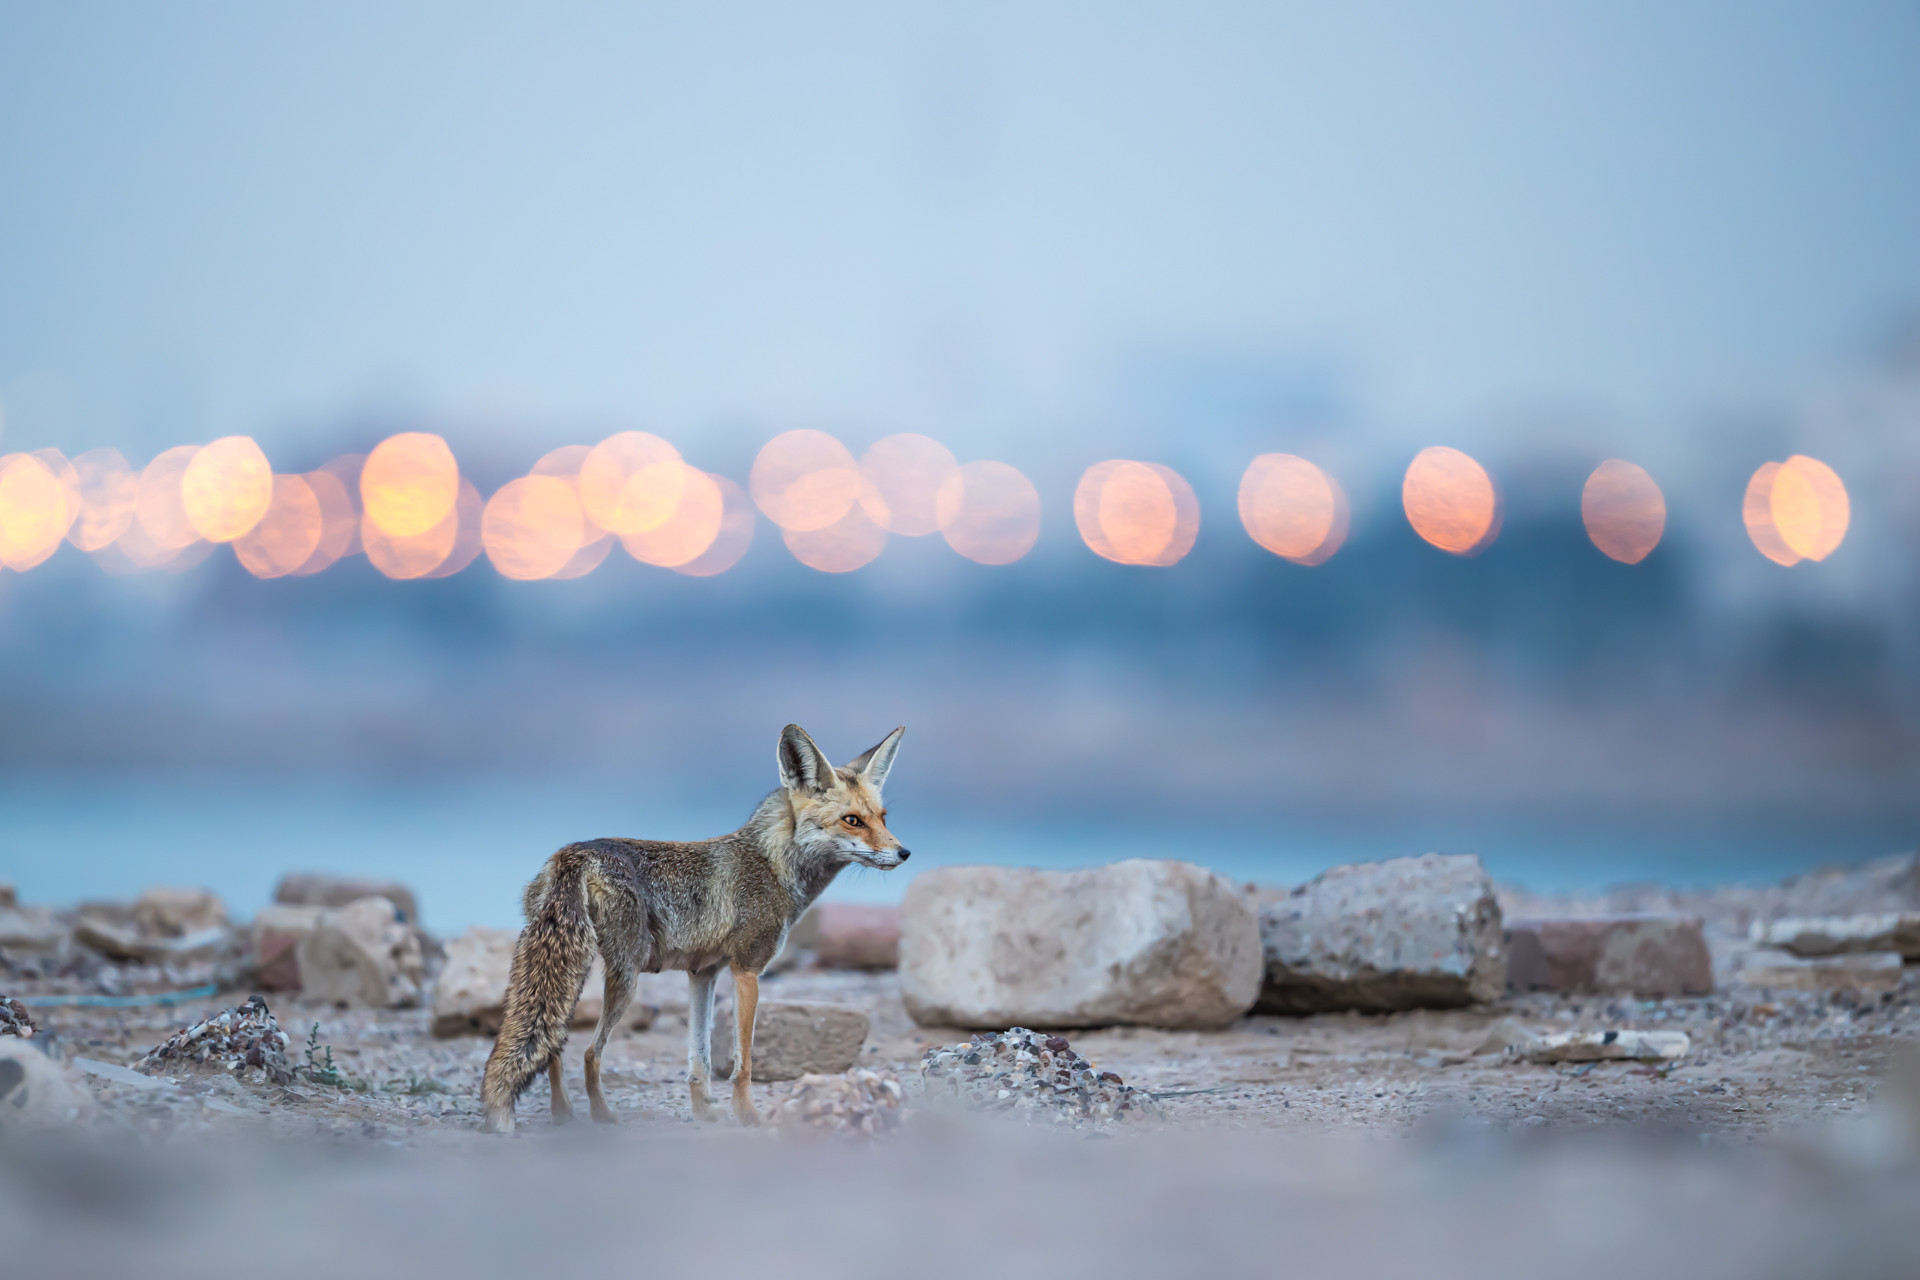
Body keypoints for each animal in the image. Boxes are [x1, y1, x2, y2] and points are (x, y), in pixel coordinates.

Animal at [480, 723, 909, 1135]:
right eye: (852, 821)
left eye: (883, 817)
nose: (904, 853)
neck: (772, 866)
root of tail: (575, 853)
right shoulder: (747, 970)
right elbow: (743, 1062)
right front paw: (747, 1115)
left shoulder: (703, 974)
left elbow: (698, 1060)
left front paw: (705, 1113)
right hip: (624, 977)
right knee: (588, 1053)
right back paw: (602, 1119)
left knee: (553, 1046)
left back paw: (564, 1116)